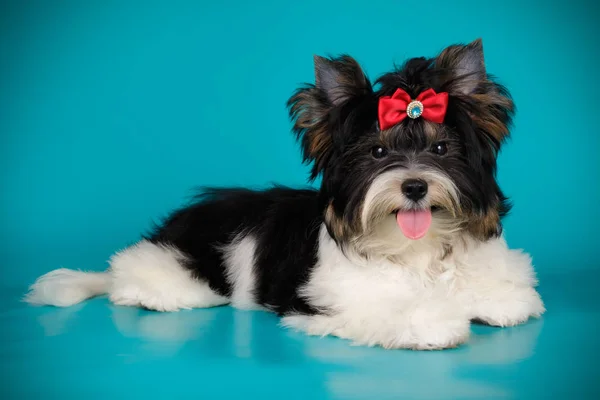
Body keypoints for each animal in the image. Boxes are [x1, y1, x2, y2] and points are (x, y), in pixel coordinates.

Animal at [25, 39, 548, 348]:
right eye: (377, 151)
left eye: (441, 148)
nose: (415, 185)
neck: (412, 249)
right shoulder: (335, 295)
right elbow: (389, 309)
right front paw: (433, 324)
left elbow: (504, 292)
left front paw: (495, 302)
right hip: (187, 263)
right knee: (134, 275)